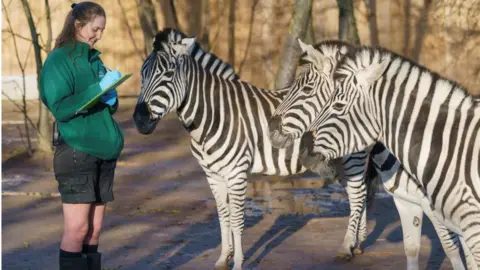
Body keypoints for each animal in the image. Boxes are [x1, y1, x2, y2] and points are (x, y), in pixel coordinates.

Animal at [132, 28, 376, 268]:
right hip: (337, 160)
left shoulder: (236, 173)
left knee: (358, 195)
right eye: (142, 74)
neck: (213, 116)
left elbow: (237, 219)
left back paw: (346, 248)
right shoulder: (212, 174)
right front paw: (223, 258)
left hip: (352, 156)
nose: (140, 119)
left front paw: (238, 262)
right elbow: (223, 216)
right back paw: (357, 243)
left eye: (168, 74)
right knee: (358, 193)